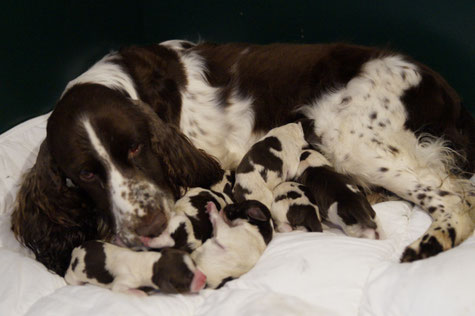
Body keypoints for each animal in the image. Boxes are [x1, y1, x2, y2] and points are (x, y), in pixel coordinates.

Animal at [11, 40, 475, 276]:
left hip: (352, 141)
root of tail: (447, 93)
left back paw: (430, 244)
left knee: (453, 198)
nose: (150, 226)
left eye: (137, 148)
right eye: (85, 173)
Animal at [65, 241, 206, 296]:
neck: (152, 265)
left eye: (194, 263)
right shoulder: (122, 283)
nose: (204, 278)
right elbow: (123, 289)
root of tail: (75, 251)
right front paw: (142, 292)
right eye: (188, 277)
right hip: (73, 277)